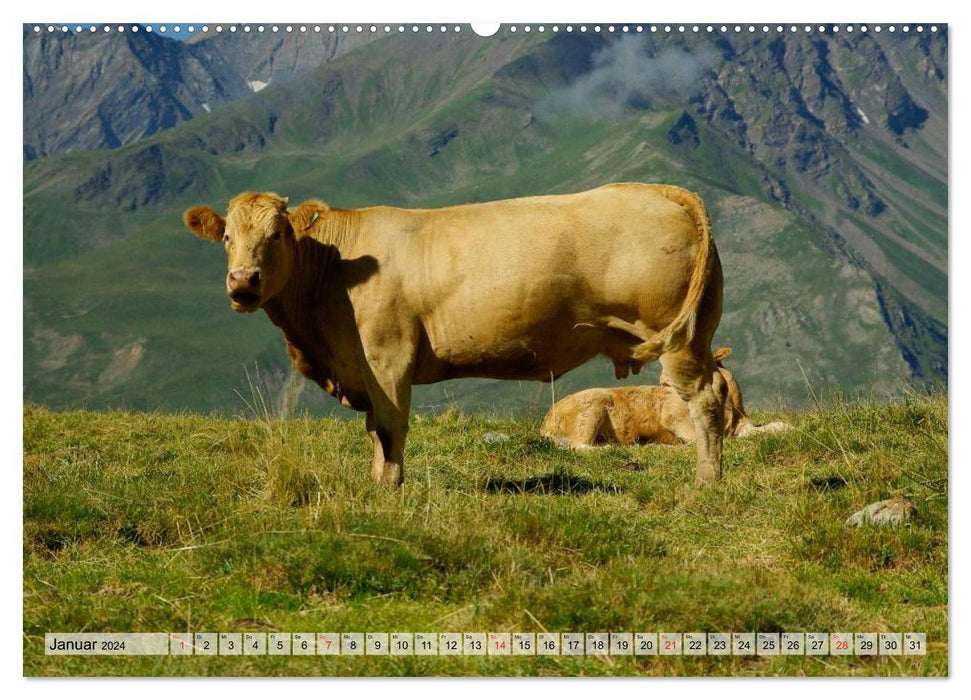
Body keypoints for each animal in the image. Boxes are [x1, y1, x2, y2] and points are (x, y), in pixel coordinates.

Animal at [184, 183, 728, 484]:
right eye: (227, 237)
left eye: (277, 235)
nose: (243, 282)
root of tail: (663, 190)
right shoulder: (363, 367)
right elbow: (374, 430)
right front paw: (375, 482)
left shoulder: (388, 357)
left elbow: (390, 427)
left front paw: (390, 489)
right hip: (699, 333)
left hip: (676, 337)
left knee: (703, 402)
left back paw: (707, 482)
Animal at [540, 348, 788, 448]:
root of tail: (547, 419)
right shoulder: (682, 423)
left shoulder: (742, 424)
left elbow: (771, 426)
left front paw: (785, 427)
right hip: (591, 411)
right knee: (578, 445)